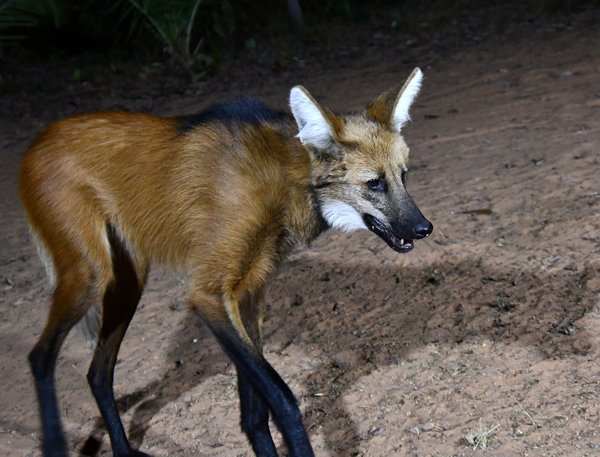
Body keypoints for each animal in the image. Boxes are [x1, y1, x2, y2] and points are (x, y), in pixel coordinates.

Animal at [18, 67, 432, 456]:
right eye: (374, 184)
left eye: (403, 177)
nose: (424, 228)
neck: (280, 180)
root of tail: (38, 140)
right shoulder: (210, 296)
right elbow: (282, 398)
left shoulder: (248, 294)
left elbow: (254, 413)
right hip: (91, 277)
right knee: (40, 356)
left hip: (128, 284)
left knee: (97, 373)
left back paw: (122, 449)